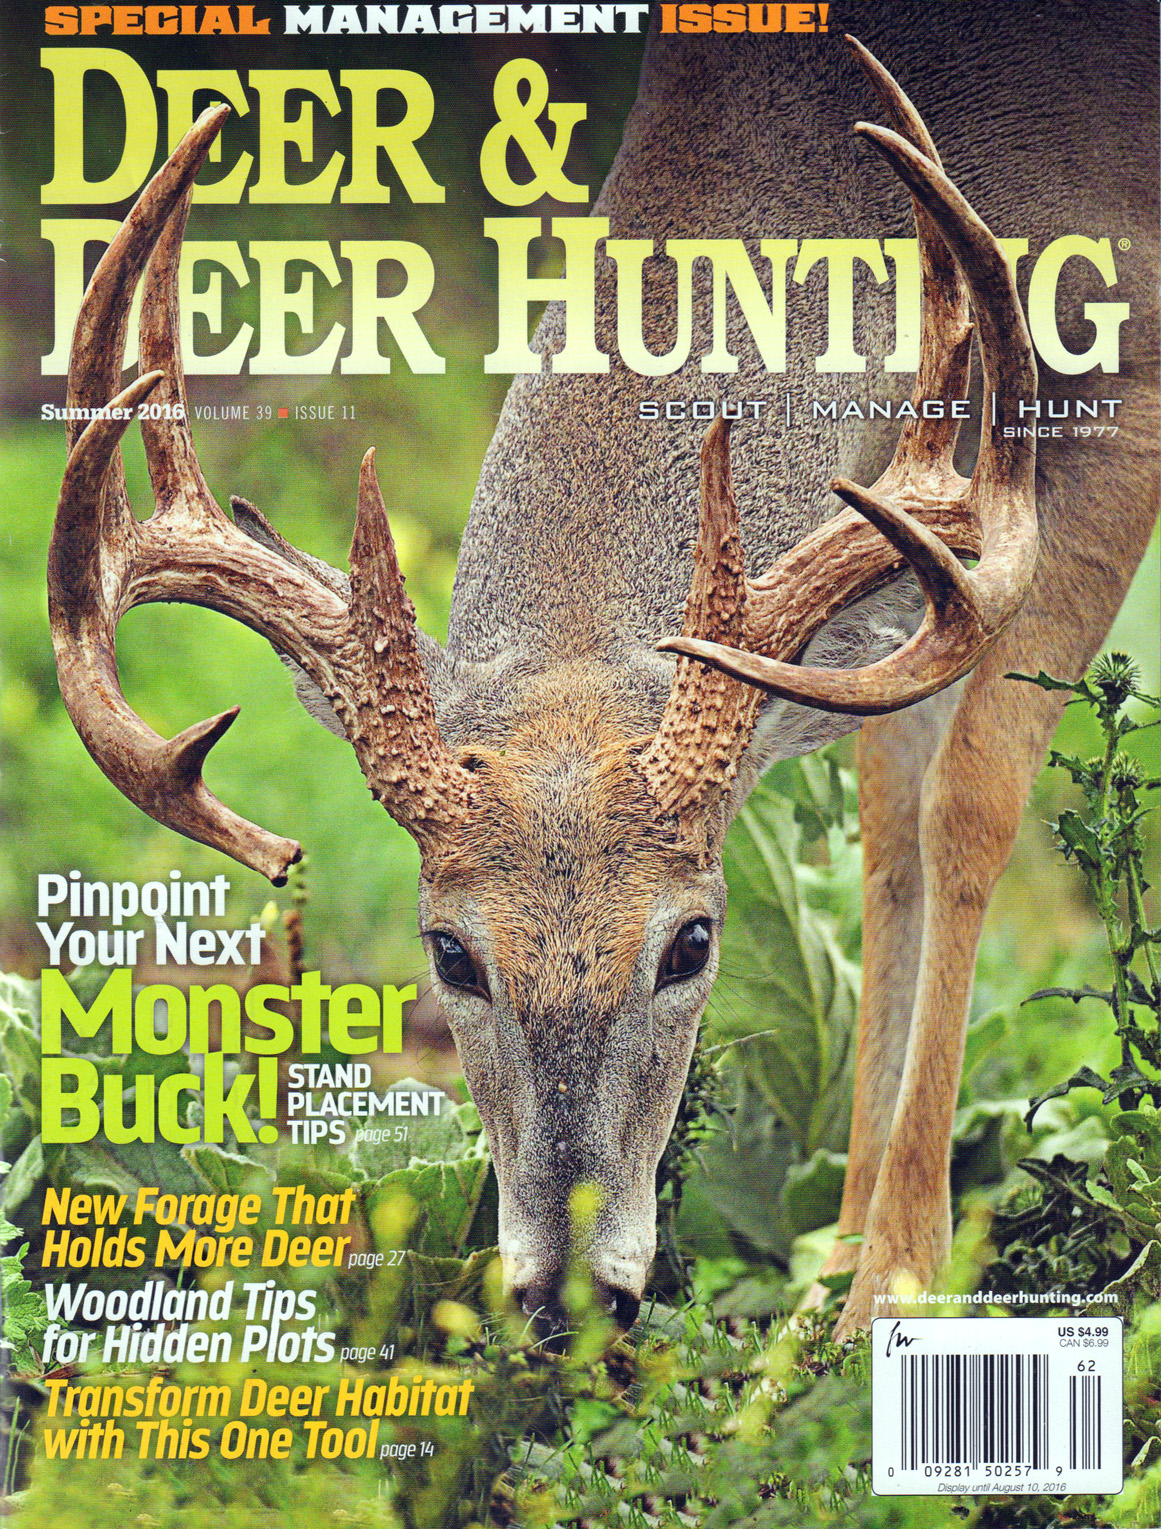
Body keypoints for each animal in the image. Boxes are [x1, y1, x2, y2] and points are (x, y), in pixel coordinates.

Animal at [49, 4, 1159, 1342]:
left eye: (692, 941)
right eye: (449, 952)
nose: (568, 1292)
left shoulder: (1127, 384)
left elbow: (971, 806)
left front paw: (895, 1279)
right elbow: (889, 839)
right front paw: (831, 1268)